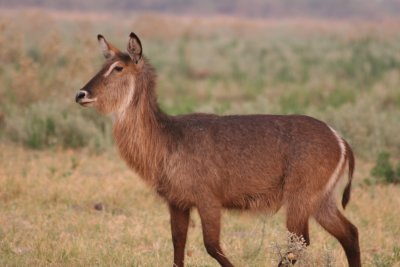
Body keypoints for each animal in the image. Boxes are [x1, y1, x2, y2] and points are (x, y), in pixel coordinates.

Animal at [75, 32, 362, 266]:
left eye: (118, 68)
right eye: (103, 66)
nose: (80, 94)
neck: (167, 139)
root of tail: (340, 139)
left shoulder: (208, 200)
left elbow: (212, 246)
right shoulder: (177, 202)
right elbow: (178, 247)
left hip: (300, 199)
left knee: (298, 243)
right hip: (321, 200)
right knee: (349, 233)